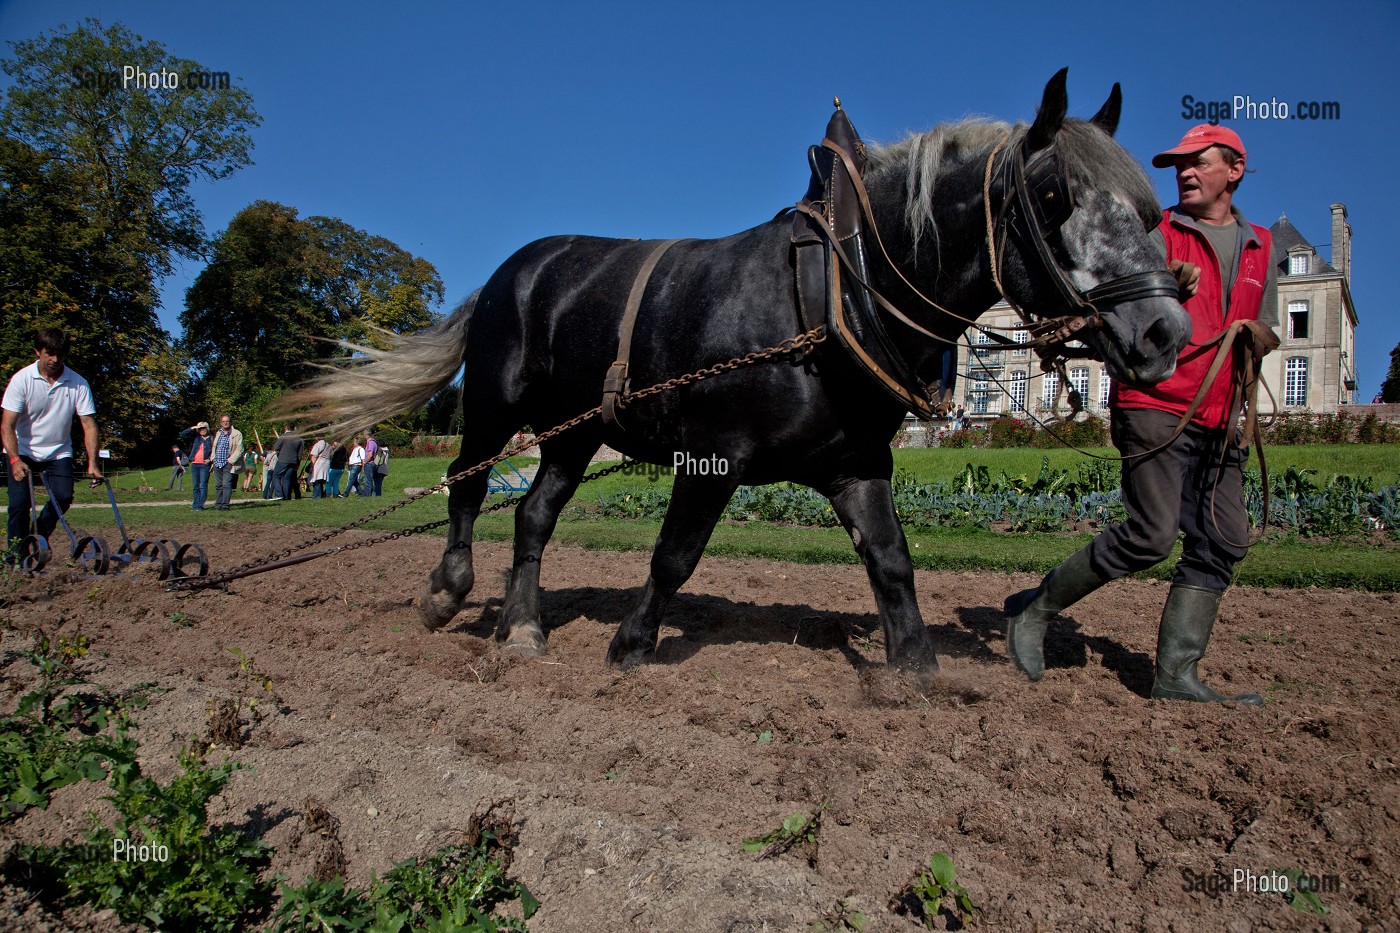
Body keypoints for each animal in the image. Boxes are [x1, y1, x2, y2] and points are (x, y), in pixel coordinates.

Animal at [279, 70, 1191, 682]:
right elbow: (673, 555)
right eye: (1053, 194)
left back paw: (523, 626)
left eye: (1150, 210)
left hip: (576, 433)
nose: (1166, 330)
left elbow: (891, 560)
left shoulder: (858, 463)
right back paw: (449, 592)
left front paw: (915, 668)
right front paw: (631, 643)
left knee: (533, 516)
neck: (836, 293)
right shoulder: (712, 455)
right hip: (497, 407)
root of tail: (513, 269)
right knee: (468, 488)